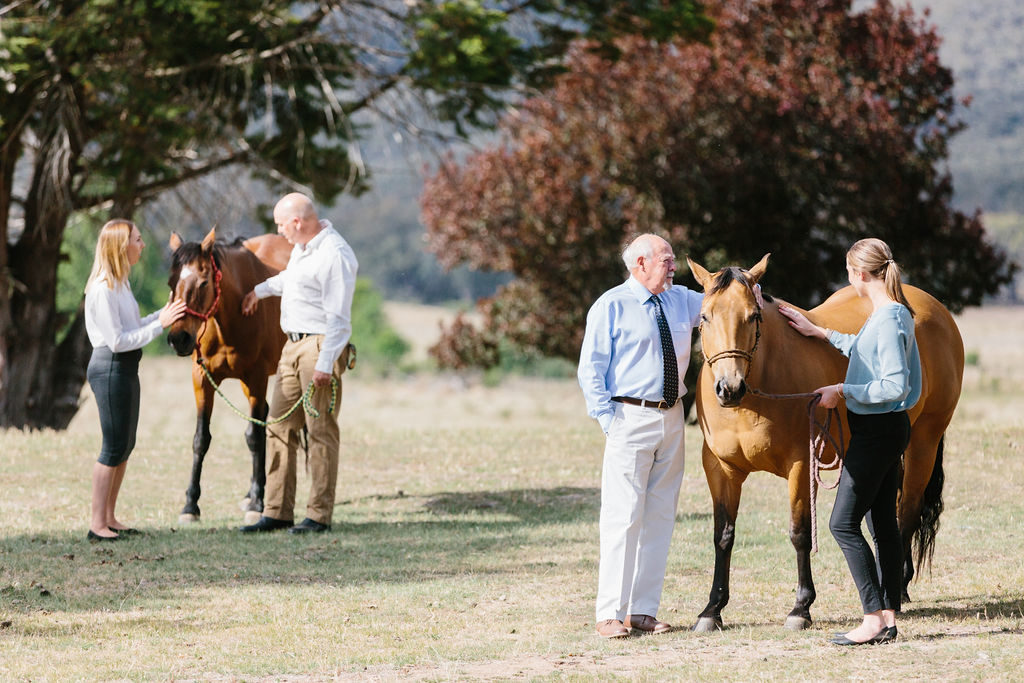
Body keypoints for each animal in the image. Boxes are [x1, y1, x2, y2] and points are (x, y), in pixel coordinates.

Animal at [165, 228, 290, 524]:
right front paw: (190, 505)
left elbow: (254, 437)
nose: (178, 338)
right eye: (171, 282)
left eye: (203, 283)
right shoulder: (202, 379)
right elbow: (201, 440)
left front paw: (258, 504)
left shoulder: (256, 377)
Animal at [692, 254, 962, 630]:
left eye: (753, 315)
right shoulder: (721, 469)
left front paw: (800, 608)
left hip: (924, 443)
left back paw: (898, 590)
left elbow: (799, 533)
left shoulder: (801, 465)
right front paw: (712, 610)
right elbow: (723, 536)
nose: (729, 388)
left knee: (906, 512)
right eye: (705, 316)